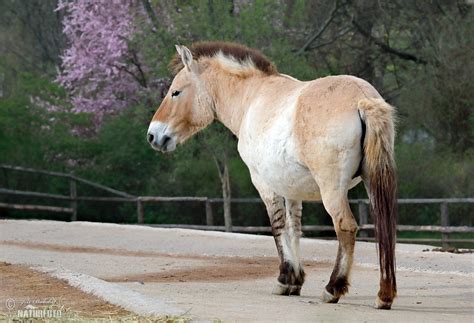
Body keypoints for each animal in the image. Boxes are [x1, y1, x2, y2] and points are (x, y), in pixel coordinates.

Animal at [147, 41, 396, 310]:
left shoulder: (264, 184)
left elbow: (277, 227)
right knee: (385, 229)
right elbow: (294, 228)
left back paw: (333, 289)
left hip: (333, 191)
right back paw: (384, 294)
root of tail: (362, 99)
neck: (251, 97)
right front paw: (297, 281)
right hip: (373, 183)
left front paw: (285, 279)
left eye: (175, 92)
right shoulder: (292, 190)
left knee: (345, 227)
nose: (153, 135)